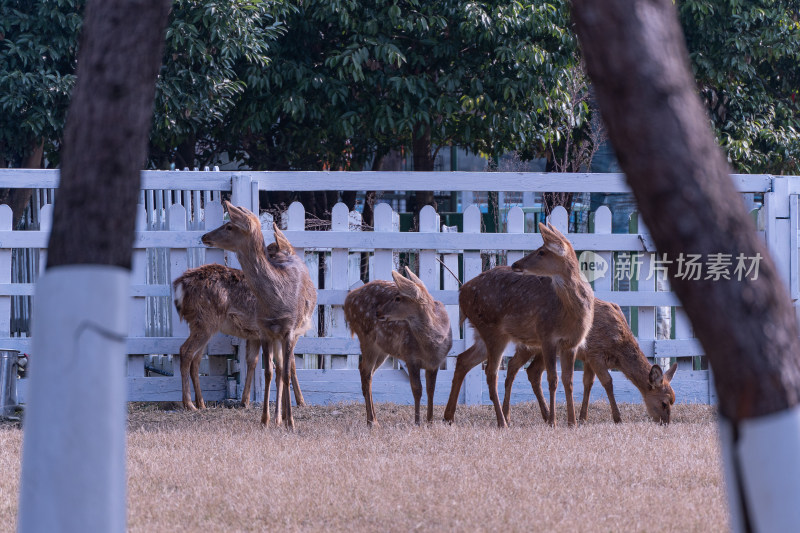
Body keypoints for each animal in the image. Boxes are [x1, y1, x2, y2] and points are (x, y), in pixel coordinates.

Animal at [172, 262, 306, 412]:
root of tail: (180, 285)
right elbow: (291, 364)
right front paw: (301, 402)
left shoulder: (255, 336)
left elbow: (253, 361)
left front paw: (244, 401)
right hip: (205, 321)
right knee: (185, 351)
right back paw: (189, 404)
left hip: (201, 325)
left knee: (196, 359)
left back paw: (201, 404)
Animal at [200, 201, 316, 428]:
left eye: (229, 226)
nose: (204, 236)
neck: (276, 300)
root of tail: (287, 249)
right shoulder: (263, 330)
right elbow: (269, 371)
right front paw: (265, 419)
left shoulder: (290, 330)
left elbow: (285, 372)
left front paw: (291, 422)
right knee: (278, 368)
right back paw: (279, 417)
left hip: (299, 329)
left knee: (288, 368)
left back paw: (289, 413)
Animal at [344, 268, 454, 426]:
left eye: (398, 298)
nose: (378, 311)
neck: (431, 346)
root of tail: (349, 299)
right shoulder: (410, 357)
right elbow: (417, 389)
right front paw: (417, 422)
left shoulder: (435, 363)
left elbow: (431, 390)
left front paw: (430, 422)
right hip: (366, 338)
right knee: (366, 372)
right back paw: (372, 421)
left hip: (382, 349)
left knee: (366, 371)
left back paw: (372, 419)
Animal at [444, 222, 592, 426]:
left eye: (542, 252)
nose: (516, 264)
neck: (569, 314)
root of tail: (461, 293)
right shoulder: (546, 335)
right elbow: (552, 379)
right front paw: (553, 422)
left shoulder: (572, 343)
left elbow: (568, 381)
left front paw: (572, 423)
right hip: (491, 330)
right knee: (491, 373)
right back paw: (502, 422)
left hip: (483, 333)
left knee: (463, 360)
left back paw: (448, 416)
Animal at [504, 300, 680, 424]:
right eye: (664, 403)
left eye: (673, 401)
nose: (665, 422)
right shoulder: (595, 353)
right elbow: (607, 382)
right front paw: (618, 418)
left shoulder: (588, 358)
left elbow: (588, 383)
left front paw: (582, 418)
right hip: (528, 345)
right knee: (512, 366)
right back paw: (507, 417)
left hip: (543, 349)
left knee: (532, 371)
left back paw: (547, 416)